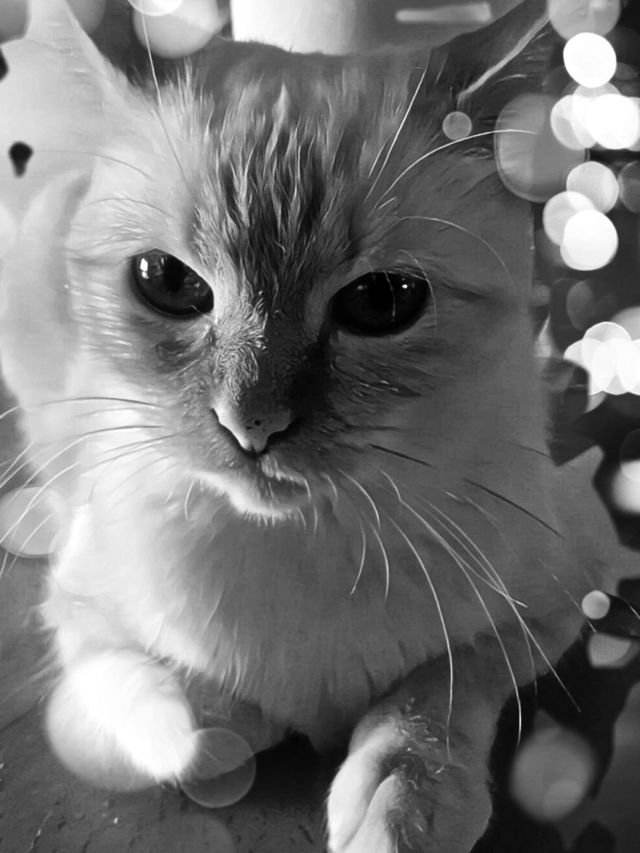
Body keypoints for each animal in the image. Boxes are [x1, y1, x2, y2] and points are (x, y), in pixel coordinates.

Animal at [0, 0, 637, 850]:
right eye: (168, 282)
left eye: (381, 301)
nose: (253, 423)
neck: (300, 541)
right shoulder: (81, 626)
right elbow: (191, 730)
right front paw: (248, 724)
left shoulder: (571, 590)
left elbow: (437, 688)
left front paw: (400, 801)